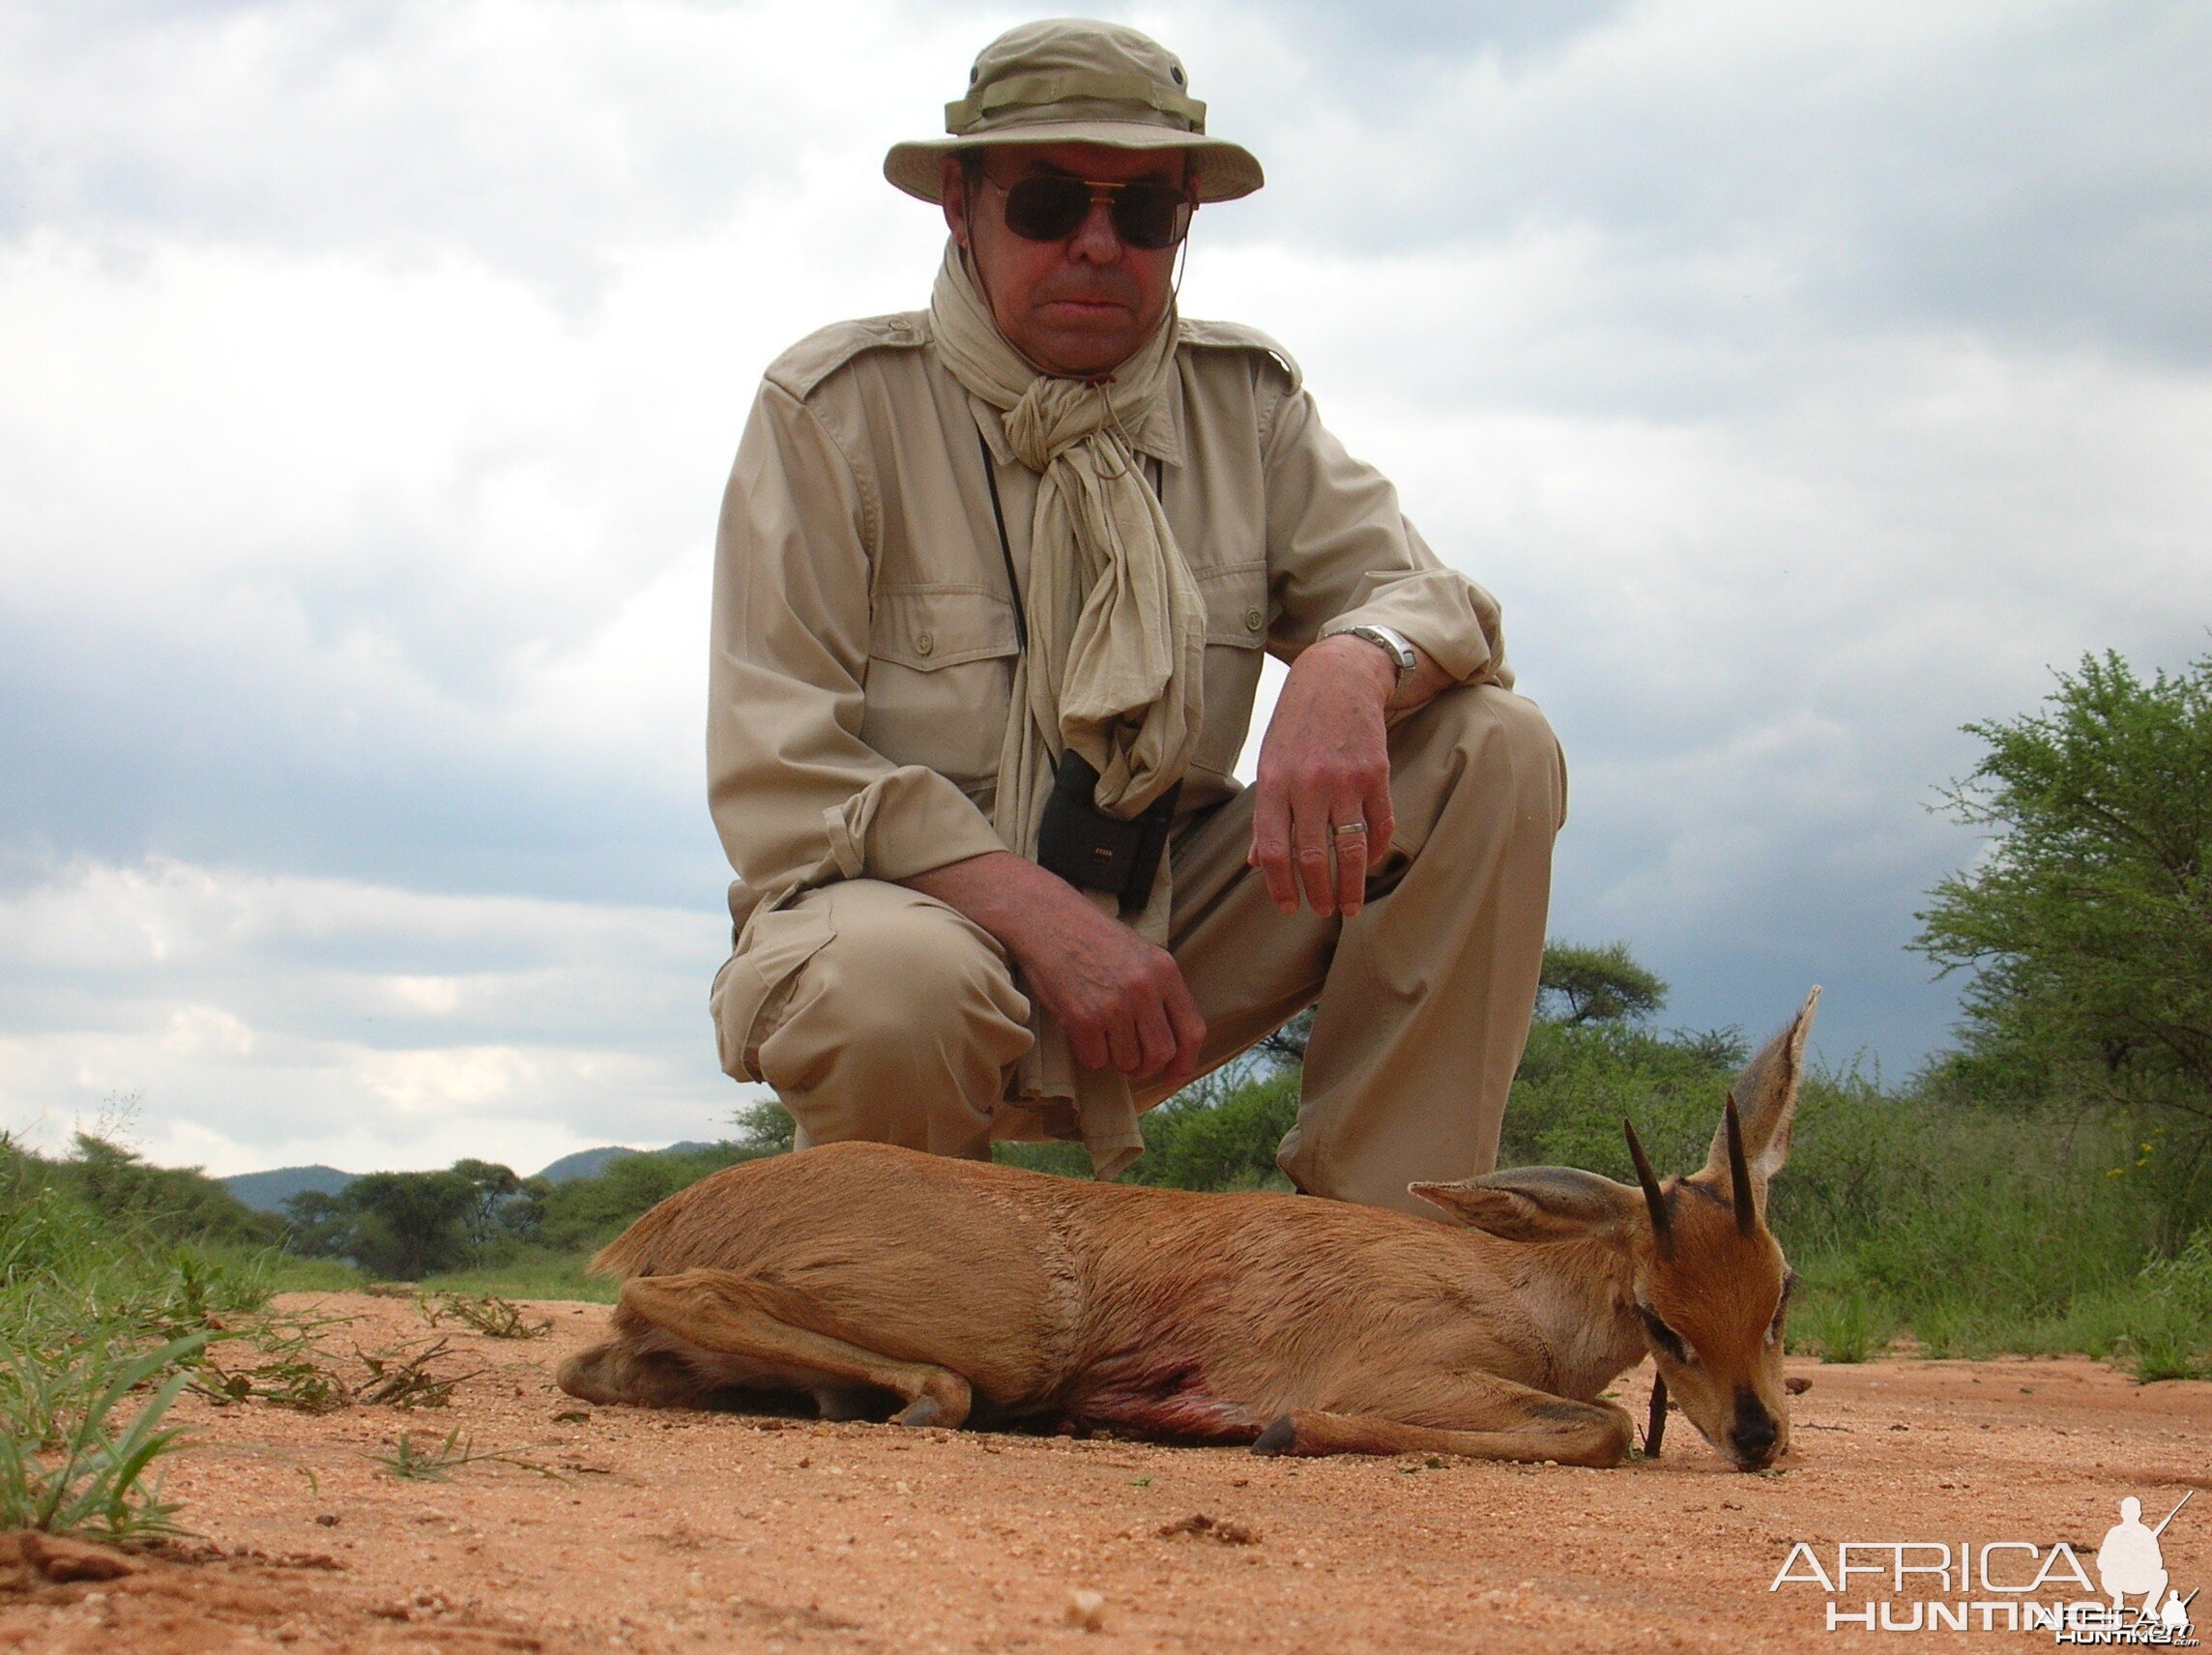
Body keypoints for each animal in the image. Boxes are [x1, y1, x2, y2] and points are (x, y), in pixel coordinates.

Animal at [553, 991, 1814, 1468]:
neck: (1519, 1292)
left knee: (599, 1360)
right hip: (1000, 1335)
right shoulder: (1409, 1369)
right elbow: (1600, 1428)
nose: (1758, 1434)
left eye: (1781, 1288)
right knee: (679, 1300)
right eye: (1658, 1313)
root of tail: (681, 1210)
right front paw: (1276, 1427)